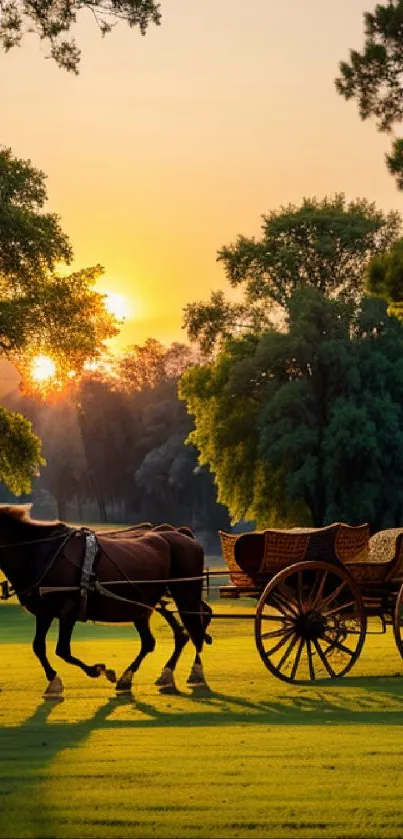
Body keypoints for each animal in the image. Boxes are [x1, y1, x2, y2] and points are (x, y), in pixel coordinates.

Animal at [0, 506, 213, 696]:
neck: (40, 550)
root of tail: (182, 535)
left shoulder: (69, 609)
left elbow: (62, 650)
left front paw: (98, 670)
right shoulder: (44, 612)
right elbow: (38, 647)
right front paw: (53, 680)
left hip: (185, 594)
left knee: (196, 627)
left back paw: (195, 670)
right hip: (148, 604)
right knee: (167, 637)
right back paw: (152, 674)